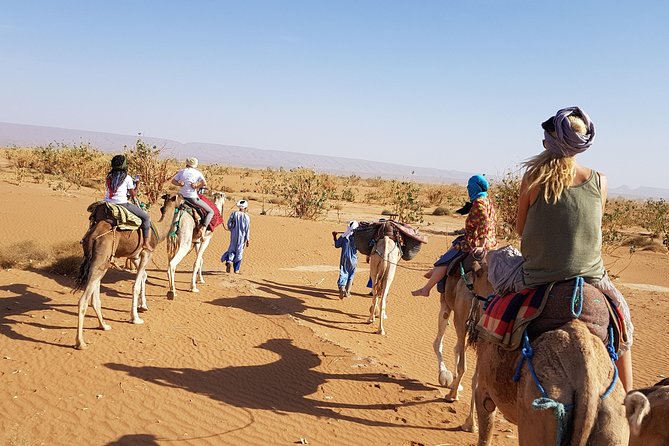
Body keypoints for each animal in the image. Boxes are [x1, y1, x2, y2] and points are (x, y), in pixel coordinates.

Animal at [73, 193, 177, 350]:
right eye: (181, 197)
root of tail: (92, 236)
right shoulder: (147, 252)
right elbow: (135, 286)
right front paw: (135, 318)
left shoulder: (134, 256)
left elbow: (144, 276)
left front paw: (143, 306)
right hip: (101, 259)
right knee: (83, 300)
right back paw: (81, 342)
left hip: (99, 261)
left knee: (94, 296)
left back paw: (104, 325)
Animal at [468, 260, 628, 444]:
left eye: (477, 274)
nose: (473, 266)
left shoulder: (485, 391)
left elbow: (485, 432)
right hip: (614, 419)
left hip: (541, 414)